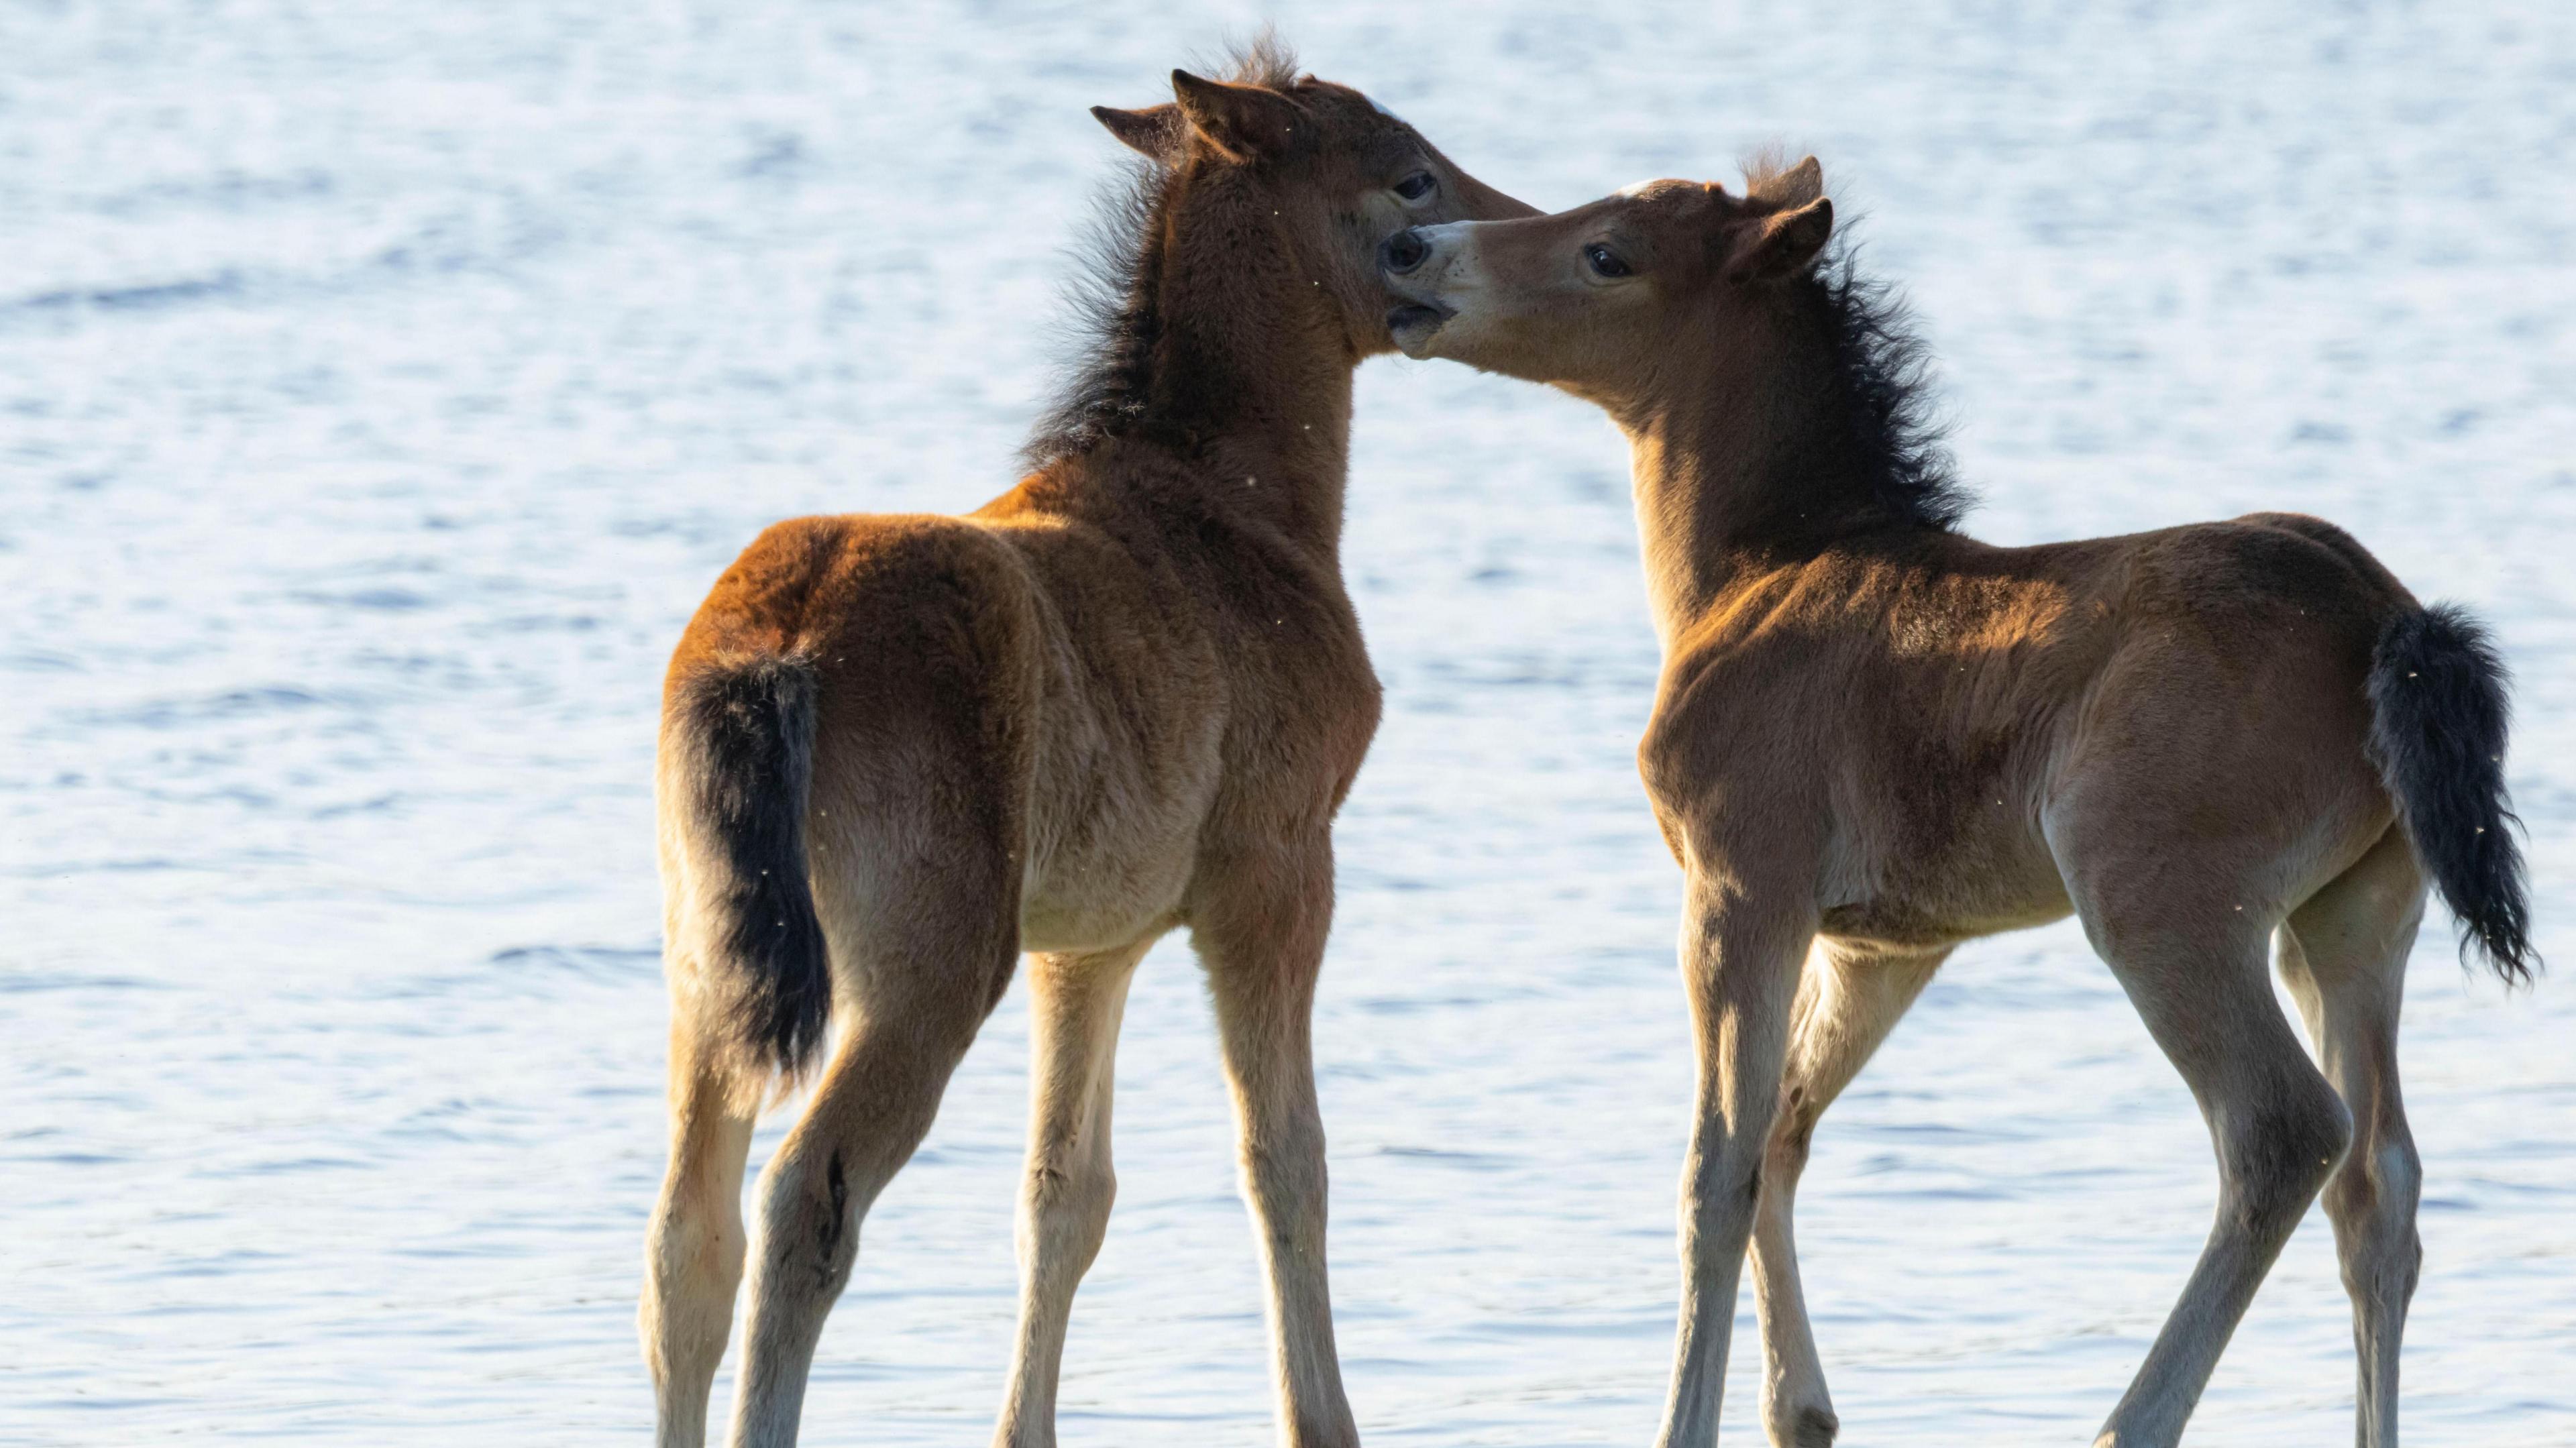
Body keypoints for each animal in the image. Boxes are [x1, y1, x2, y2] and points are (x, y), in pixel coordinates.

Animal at [644, 45, 1525, 1443]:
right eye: (1411, 180)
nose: (1493, 247)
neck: (1234, 505)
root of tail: (775, 647)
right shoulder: (1277, 874)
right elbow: (1287, 1158)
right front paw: (1323, 1414)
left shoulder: (1090, 938)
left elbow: (1064, 1193)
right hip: (927, 968)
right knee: (804, 1198)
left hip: (711, 964)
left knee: (690, 1234)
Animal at [1391, 160, 2534, 1443]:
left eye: (1607, 254)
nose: (1410, 250)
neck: (1760, 569)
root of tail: (2384, 610)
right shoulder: (1888, 942)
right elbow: (1782, 1133)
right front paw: (1802, 1408)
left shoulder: (1742, 890)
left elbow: (1715, 1172)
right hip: (2351, 918)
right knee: (2381, 1182)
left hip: (2159, 903)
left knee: (2283, 1132)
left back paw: (2128, 1417)